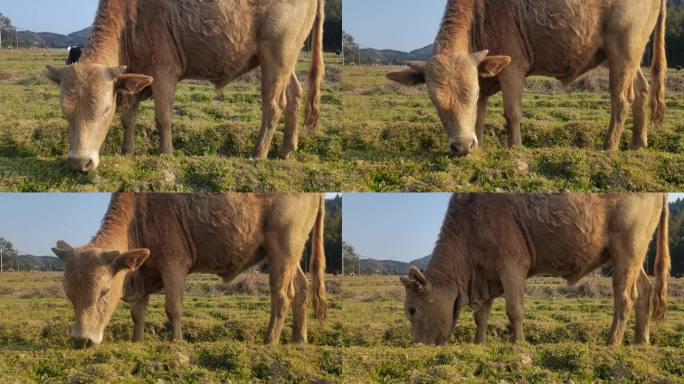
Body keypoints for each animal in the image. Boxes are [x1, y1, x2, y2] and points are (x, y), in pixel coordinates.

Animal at [44, 0, 324, 171]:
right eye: (65, 112)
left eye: (104, 110)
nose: (80, 162)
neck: (131, 20)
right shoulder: (133, 79)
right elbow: (128, 119)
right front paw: (127, 152)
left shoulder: (163, 72)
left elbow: (163, 117)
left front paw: (166, 153)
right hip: (286, 59)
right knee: (295, 96)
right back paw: (286, 149)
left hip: (276, 54)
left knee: (274, 104)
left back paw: (259, 154)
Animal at [52, 194, 324, 346]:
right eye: (69, 294)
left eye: (104, 292)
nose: (81, 340)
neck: (140, 211)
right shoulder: (143, 272)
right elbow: (138, 313)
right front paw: (137, 342)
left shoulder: (174, 263)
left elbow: (173, 307)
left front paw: (176, 342)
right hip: (292, 255)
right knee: (301, 289)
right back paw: (298, 340)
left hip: (283, 249)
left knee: (282, 295)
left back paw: (270, 341)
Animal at [390, 0, 668, 157]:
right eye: (435, 101)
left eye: (472, 92)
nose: (462, 147)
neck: (480, 16)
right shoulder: (484, 73)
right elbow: (480, 115)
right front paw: (479, 145)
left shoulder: (513, 67)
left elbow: (511, 111)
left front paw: (515, 147)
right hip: (629, 55)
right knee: (642, 91)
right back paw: (638, 144)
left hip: (623, 48)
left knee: (621, 98)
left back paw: (609, 147)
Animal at [398, 194, 672, 346]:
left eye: (412, 310)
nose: (417, 346)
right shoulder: (487, 274)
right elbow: (481, 316)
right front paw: (478, 344)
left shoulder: (511, 264)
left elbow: (514, 310)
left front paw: (517, 344)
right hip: (634, 255)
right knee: (644, 291)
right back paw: (640, 341)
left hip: (627, 248)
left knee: (625, 297)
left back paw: (612, 342)